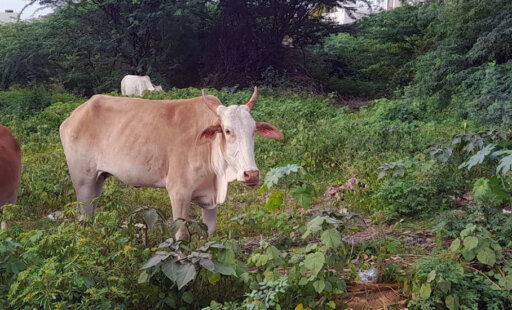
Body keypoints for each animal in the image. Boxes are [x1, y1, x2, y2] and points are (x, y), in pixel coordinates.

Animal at [61, 87, 284, 240]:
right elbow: (181, 235)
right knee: (83, 217)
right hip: (83, 181)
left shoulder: (211, 203)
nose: (251, 174)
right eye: (228, 131)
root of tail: (75, 114)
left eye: (253, 130)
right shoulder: (179, 193)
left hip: (98, 180)